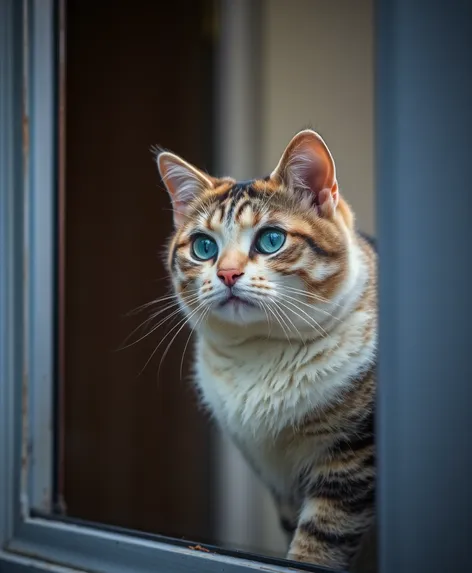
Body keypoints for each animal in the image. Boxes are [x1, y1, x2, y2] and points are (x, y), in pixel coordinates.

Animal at [155, 131, 376, 572]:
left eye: (271, 239)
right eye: (203, 247)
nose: (227, 273)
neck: (262, 351)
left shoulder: (354, 457)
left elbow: (321, 538)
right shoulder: (279, 480)